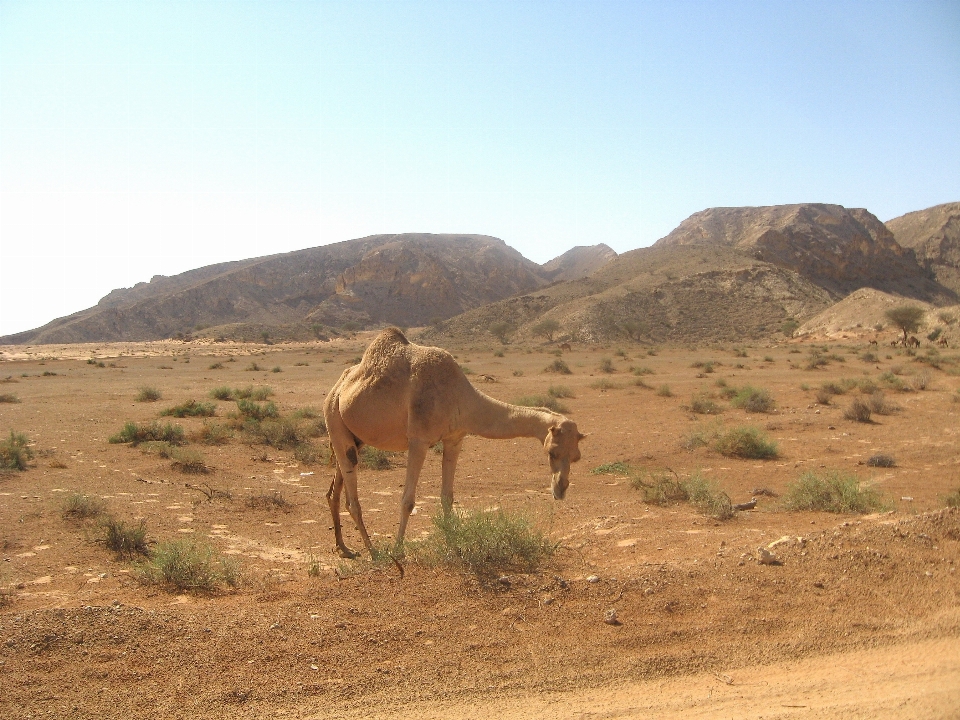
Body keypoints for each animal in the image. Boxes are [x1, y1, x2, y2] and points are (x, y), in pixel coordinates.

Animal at [322, 330, 584, 560]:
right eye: (552, 452)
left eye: (577, 457)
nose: (561, 489)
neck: (459, 395)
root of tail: (337, 387)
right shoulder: (419, 440)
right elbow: (407, 500)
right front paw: (398, 551)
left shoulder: (455, 439)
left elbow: (447, 497)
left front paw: (454, 548)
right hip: (334, 419)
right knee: (352, 498)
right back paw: (374, 552)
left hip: (355, 438)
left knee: (335, 490)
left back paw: (344, 548)